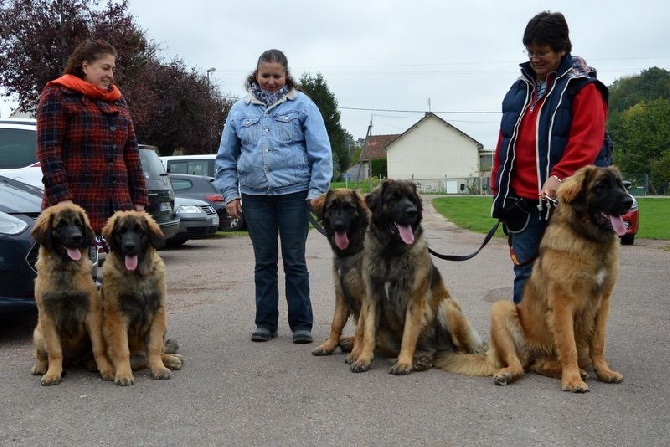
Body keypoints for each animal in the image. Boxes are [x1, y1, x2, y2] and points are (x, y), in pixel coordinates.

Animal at [31, 205, 114, 386]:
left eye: (78, 224)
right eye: (60, 225)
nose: (77, 237)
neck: (64, 269)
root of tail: (73, 360)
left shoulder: (92, 315)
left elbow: (98, 348)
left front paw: (106, 369)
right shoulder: (47, 317)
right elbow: (54, 351)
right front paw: (52, 373)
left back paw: (90, 364)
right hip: (39, 334)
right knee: (42, 355)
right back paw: (41, 367)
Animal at [101, 212, 184, 386]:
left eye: (139, 231)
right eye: (121, 232)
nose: (129, 246)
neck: (137, 276)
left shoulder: (157, 314)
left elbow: (154, 347)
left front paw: (159, 368)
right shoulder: (117, 317)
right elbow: (121, 349)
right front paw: (124, 373)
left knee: (155, 352)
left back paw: (171, 359)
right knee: (141, 360)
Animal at [346, 178, 484, 374]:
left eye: (412, 199)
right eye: (394, 198)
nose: (412, 211)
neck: (391, 251)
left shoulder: (414, 301)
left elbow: (409, 335)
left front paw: (404, 363)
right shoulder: (372, 299)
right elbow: (368, 334)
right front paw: (363, 359)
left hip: (447, 307)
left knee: (458, 350)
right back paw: (421, 360)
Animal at [440, 165, 636, 392]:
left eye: (621, 185)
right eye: (601, 186)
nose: (629, 202)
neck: (588, 239)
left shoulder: (603, 303)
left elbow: (598, 343)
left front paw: (604, 372)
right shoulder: (562, 304)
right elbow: (568, 345)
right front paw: (572, 380)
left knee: (540, 365)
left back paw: (577, 370)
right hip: (501, 309)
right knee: (519, 365)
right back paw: (511, 373)